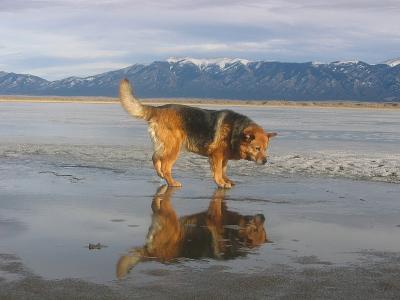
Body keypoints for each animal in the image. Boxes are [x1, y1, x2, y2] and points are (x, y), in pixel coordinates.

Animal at [116, 185, 266, 278]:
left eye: (261, 229)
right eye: (257, 228)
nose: (264, 217)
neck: (233, 237)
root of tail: (152, 255)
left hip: (167, 220)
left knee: (156, 206)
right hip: (171, 217)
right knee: (159, 202)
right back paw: (163, 188)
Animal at [118, 79, 276, 188]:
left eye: (265, 149)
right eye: (257, 148)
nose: (265, 161)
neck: (235, 132)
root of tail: (158, 109)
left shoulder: (224, 158)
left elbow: (224, 170)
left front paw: (226, 180)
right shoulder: (217, 156)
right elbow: (218, 172)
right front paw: (221, 183)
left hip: (164, 146)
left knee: (155, 158)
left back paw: (160, 174)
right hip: (174, 148)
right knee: (165, 166)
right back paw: (172, 182)